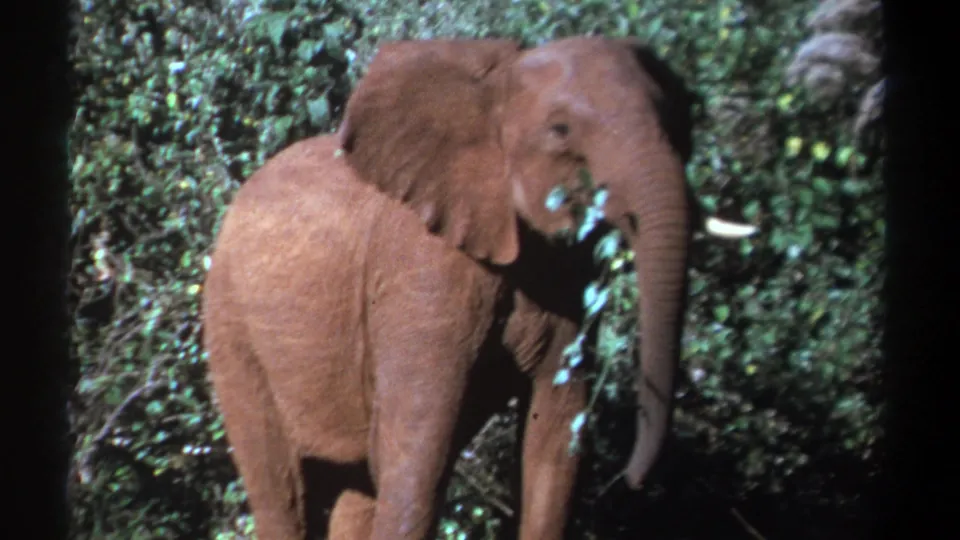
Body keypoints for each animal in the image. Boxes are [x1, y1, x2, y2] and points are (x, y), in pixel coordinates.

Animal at [202, 36, 752, 539]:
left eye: (677, 124)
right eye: (560, 130)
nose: (635, 480)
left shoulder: (564, 278)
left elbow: (555, 440)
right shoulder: (424, 265)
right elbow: (418, 451)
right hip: (231, 327)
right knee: (282, 488)